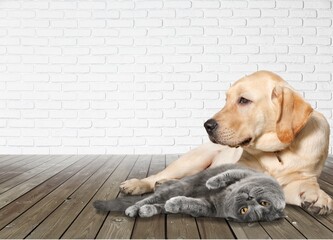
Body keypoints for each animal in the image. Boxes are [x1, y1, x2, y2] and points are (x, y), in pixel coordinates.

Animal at [94, 164, 286, 222]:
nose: (250, 198)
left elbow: (191, 204)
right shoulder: (245, 172)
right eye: (264, 202)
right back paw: (134, 208)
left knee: (160, 204)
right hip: (181, 186)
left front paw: (176, 204)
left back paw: (148, 210)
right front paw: (212, 182)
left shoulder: (210, 208)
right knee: (148, 199)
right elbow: (228, 174)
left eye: (244, 210)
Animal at [118, 70, 330, 215]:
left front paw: (319, 197)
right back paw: (139, 184)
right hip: (194, 159)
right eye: (226, 99)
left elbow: (309, 185)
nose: (207, 125)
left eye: (244, 100)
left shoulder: (301, 178)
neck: (277, 152)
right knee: (163, 175)